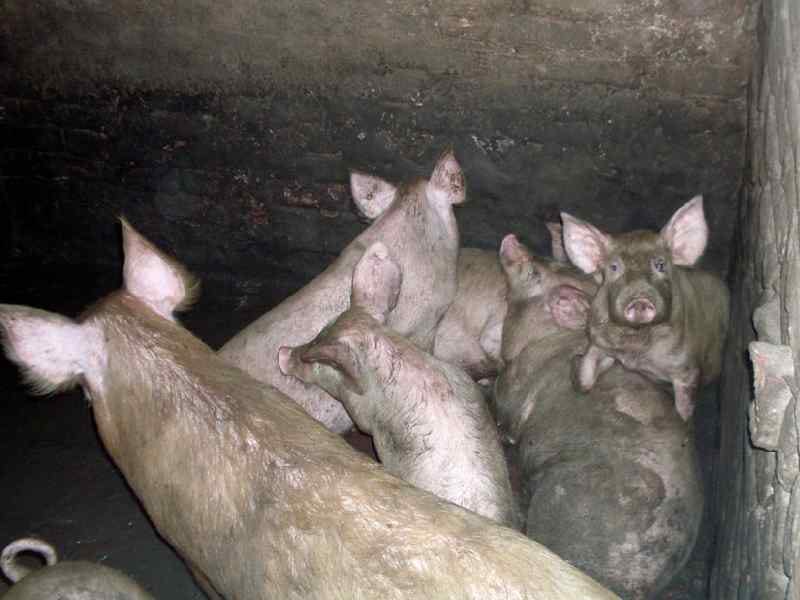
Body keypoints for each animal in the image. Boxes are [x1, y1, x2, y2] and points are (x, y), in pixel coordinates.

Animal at [493, 234, 703, 599]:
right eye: (555, 261)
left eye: (534, 273)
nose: (513, 238)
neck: (548, 337)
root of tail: (631, 583)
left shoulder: (513, 388)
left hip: (561, 499)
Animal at [560, 196, 730, 421]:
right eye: (614, 267)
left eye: (660, 265)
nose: (640, 299)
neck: (636, 350)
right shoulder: (598, 338)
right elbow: (586, 375)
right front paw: (576, 363)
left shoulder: (687, 369)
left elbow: (685, 407)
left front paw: (683, 420)